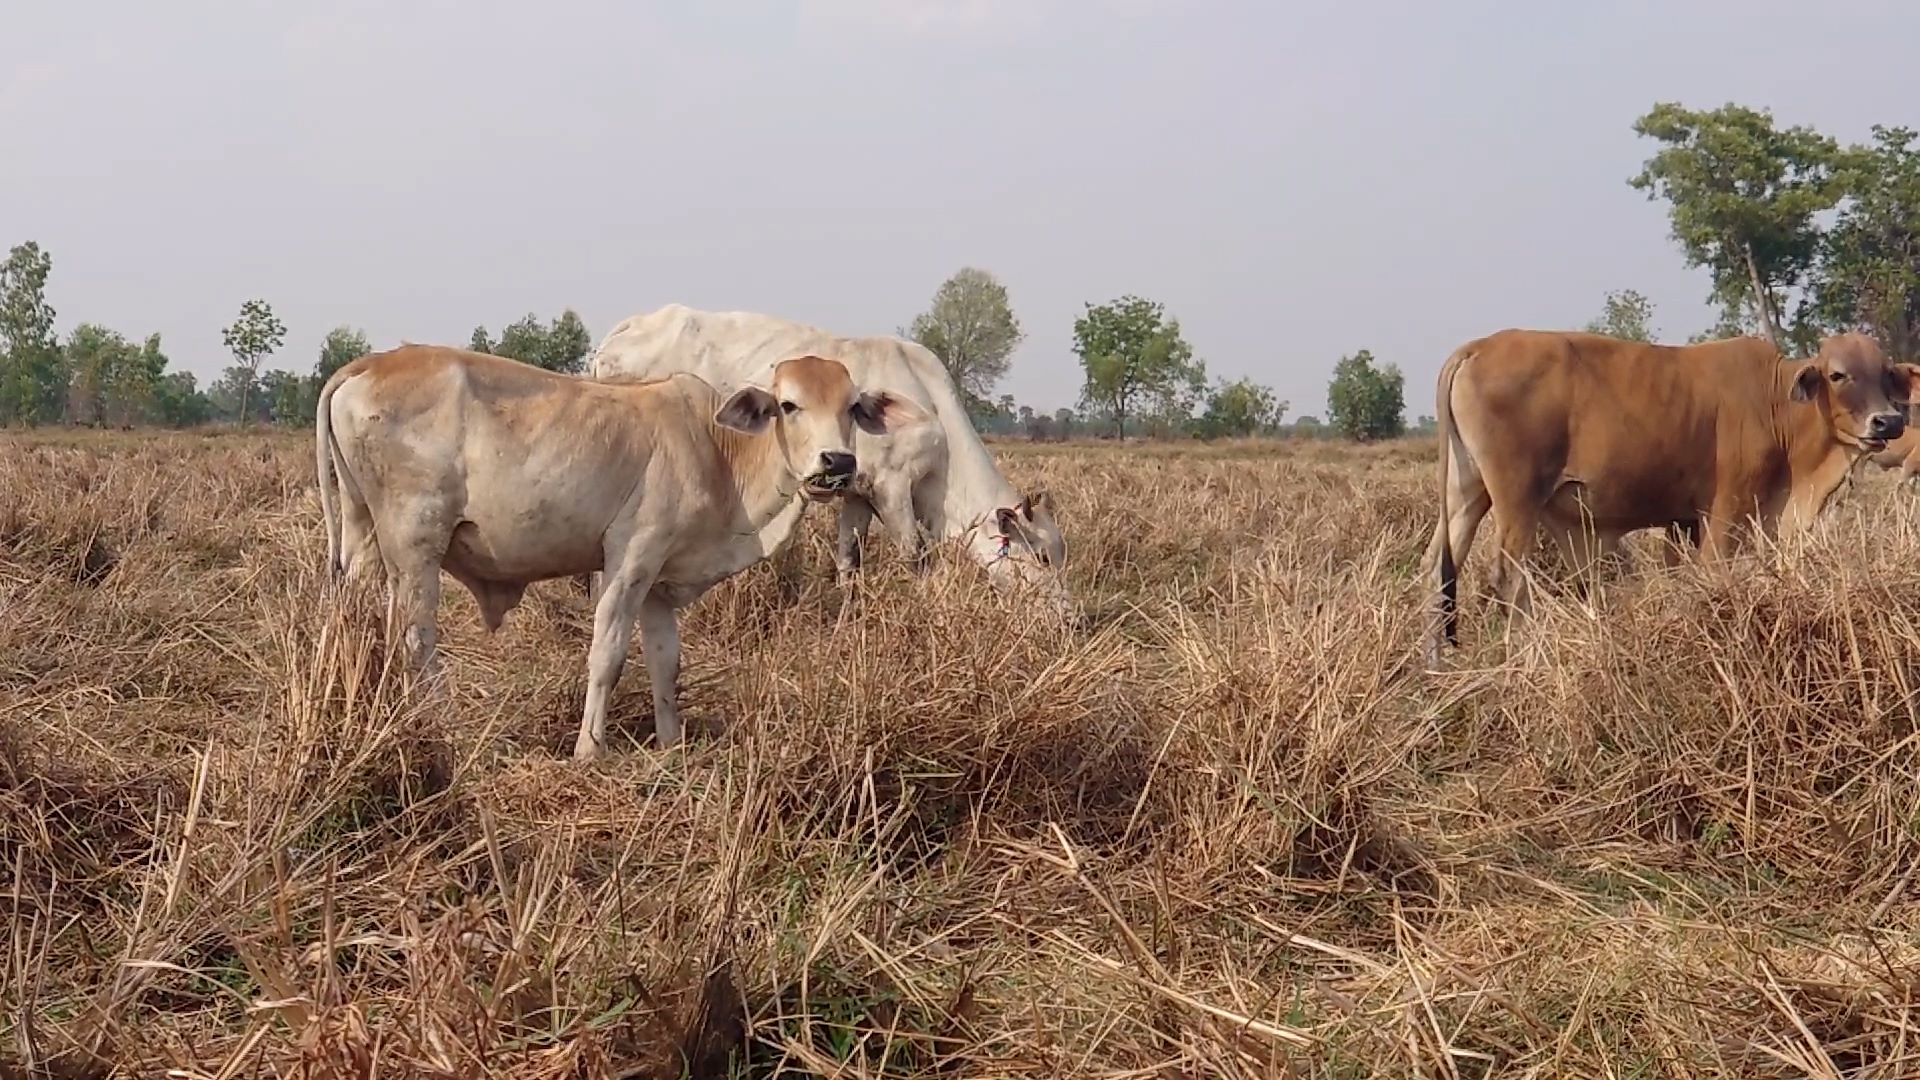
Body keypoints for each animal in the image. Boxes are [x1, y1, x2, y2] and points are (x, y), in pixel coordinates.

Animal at [316, 343, 921, 757]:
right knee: (417, 640)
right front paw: (590, 748)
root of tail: (369, 364)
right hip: (415, 545)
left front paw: (672, 745)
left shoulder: (659, 584)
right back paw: (444, 729)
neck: (717, 453)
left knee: (360, 619)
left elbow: (666, 664)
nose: (837, 463)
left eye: (852, 408)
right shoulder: (630, 561)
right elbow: (607, 656)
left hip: (362, 534)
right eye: (789, 405)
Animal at [591, 303, 1075, 614]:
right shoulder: (892, 487)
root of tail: (621, 331)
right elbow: (917, 559)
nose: (1070, 617)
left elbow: (849, 561)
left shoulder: (859, 494)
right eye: (1043, 558)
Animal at [1428, 326, 1920, 657]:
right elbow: (1716, 574)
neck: (1776, 405)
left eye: (1884, 373)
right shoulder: (1728, 512)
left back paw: (1434, 668)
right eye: (1838, 375)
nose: (1889, 422)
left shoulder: (1683, 522)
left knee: (1436, 568)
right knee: (1509, 580)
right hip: (1517, 500)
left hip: (1466, 492)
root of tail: (1474, 348)